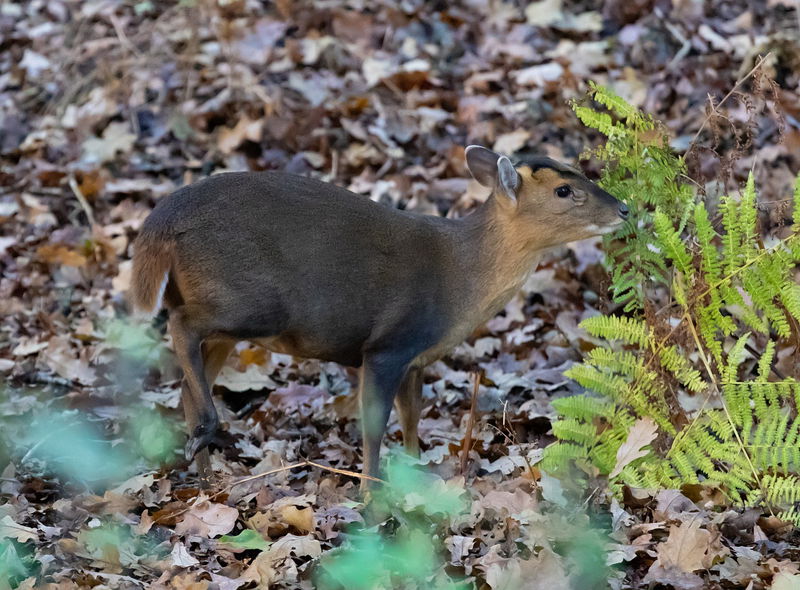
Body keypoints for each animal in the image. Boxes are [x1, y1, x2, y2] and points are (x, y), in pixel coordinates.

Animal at [133, 147, 632, 490]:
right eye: (565, 190)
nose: (624, 208)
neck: (462, 280)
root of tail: (160, 222)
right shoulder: (387, 346)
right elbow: (373, 427)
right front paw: (372, 495)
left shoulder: (416, 357)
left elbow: (412, 418)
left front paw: (416, 476)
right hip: (252, 301)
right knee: (180, 325)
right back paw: (208, 430)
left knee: (188, 375)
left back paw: (204, 471)